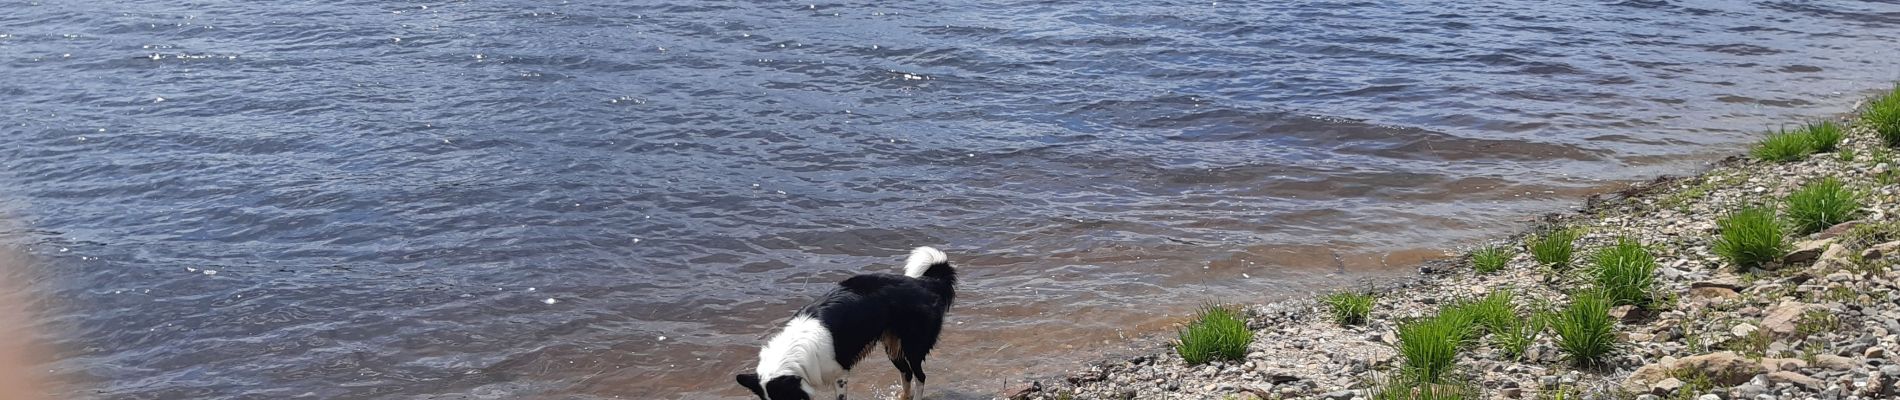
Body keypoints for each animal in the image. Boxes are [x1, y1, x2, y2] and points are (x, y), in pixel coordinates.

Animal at [733, 246, 957, 400]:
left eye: (784, 398)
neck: (794, 354)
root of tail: (925, 283)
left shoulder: (840, 375)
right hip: (892, 346)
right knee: (907, 373)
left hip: (913, 346)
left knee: (920, 376)